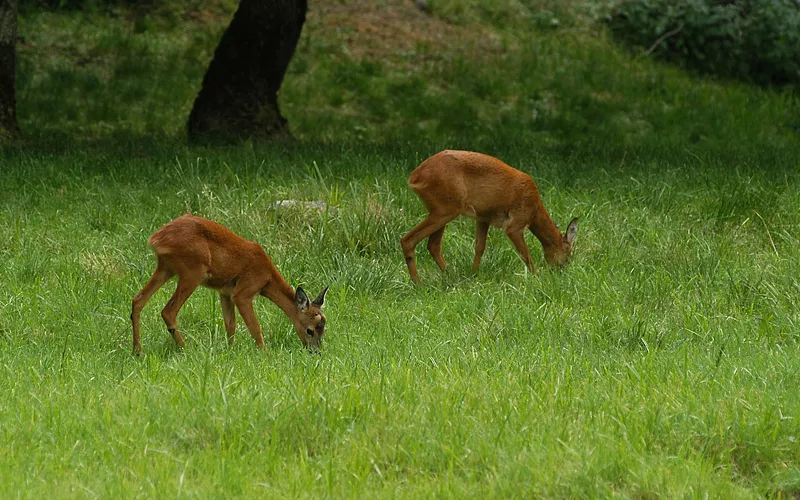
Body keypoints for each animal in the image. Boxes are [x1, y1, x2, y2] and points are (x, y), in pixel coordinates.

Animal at [133, 215, 326, 356]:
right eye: (310, 330)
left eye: (324, 328)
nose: (315, 352)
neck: (267, 277)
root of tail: (156, 239)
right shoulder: (243, 292)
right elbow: (255, 327)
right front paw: (265, 354)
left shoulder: (225, 292)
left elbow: (230, 324)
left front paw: (230, 351)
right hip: (192, 271)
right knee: (168, 310)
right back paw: (185, 348)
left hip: (165, 268)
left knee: (138, 300)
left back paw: (137, 351)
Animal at [400, 149, 580, 282]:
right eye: (568, 256)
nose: (561, 273)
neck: (535, 211)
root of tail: (414, 177)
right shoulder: (515, 223)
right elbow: (525, 253)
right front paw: (536, 277)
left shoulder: (483, 218)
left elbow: (479, 247)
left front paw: (474, 275)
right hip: (445, 209)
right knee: (408, 240)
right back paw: (418, 284)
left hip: (442, 209)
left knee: (433, 245)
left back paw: (450, 276)